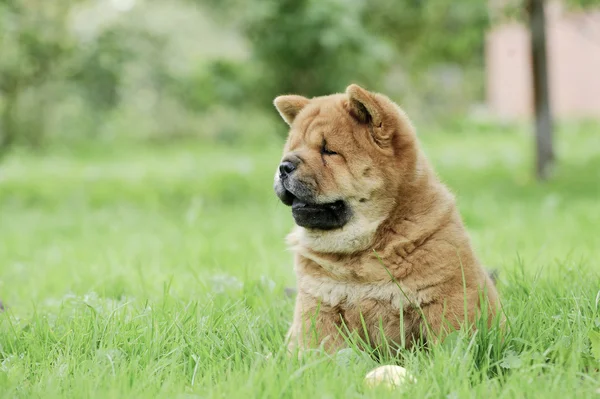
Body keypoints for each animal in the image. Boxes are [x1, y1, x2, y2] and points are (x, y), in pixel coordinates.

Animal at [274, 83, 500, 354]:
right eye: (292, 148)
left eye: (328, 151)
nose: (284, 166)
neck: (359, 251)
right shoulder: (318, 304)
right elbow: (321, 349)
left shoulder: (444, 299)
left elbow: (449, 343)